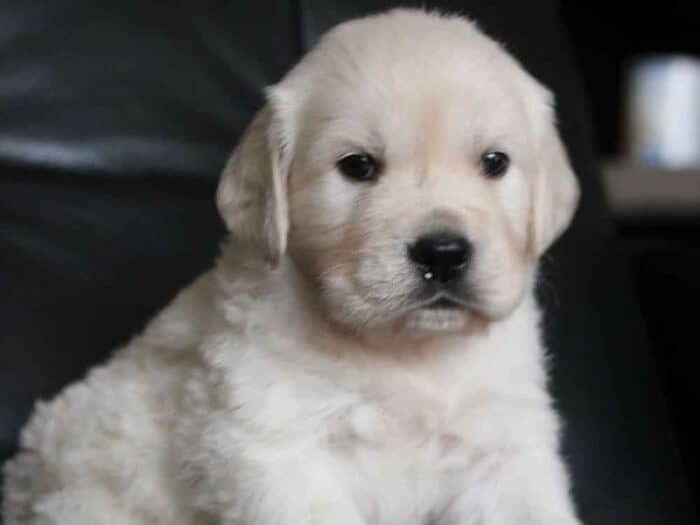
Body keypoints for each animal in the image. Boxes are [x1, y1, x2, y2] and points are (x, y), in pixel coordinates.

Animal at [4, 9, 580, 524]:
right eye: (358, 166)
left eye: (494, 162)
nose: (442, 253)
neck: (404, 354)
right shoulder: (273, 450)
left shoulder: (502, 448)